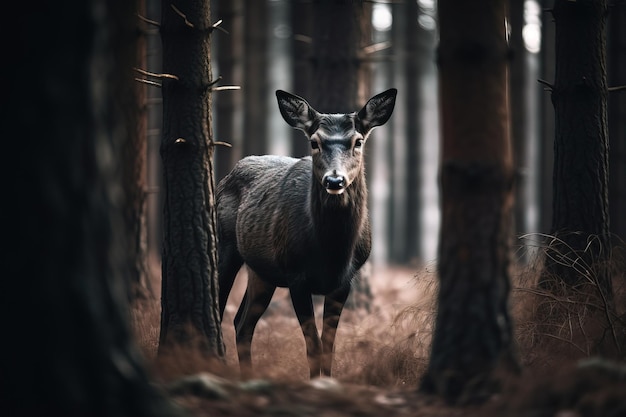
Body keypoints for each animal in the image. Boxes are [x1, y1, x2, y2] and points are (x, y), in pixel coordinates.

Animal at [217, 88, 398, 376]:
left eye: (358, 141)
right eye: (314, 142)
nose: (334, 180)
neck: (332, 253)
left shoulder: (344, 282)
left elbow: (328, 345)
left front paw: (327, 379)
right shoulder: (296, 275)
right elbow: (313, 344)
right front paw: (315, 380)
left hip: (262, 272)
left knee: (242, 323)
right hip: (225, 245)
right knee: (221, 306)